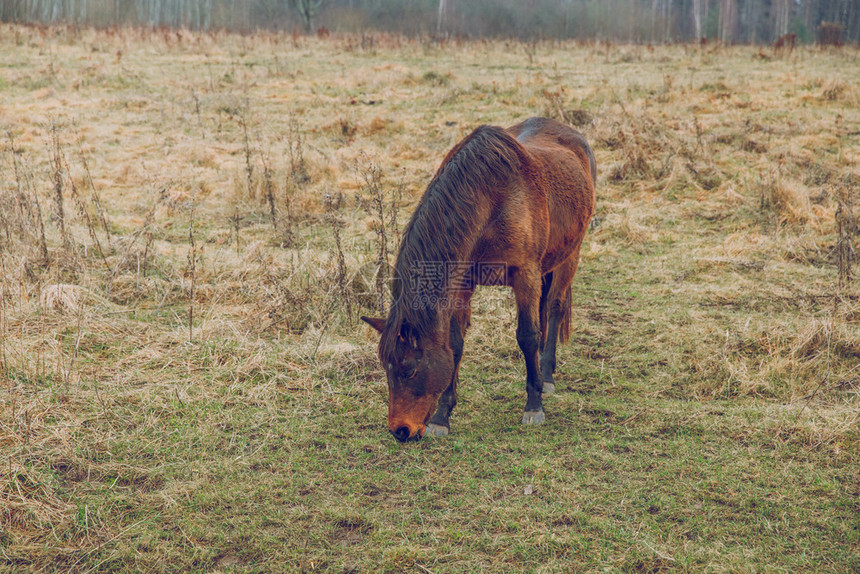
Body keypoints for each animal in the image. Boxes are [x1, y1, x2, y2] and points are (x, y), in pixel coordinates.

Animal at [360, 116, 596, 440]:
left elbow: (527, 335)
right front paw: (442, 417)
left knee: (555, 307)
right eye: (386, 369)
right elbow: (456, 344)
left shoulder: (525, 274)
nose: (400, 431)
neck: (492, 202)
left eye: (408, 370)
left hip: (570, 255)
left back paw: (546, 377)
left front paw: (533, 406)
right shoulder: (463, 284)